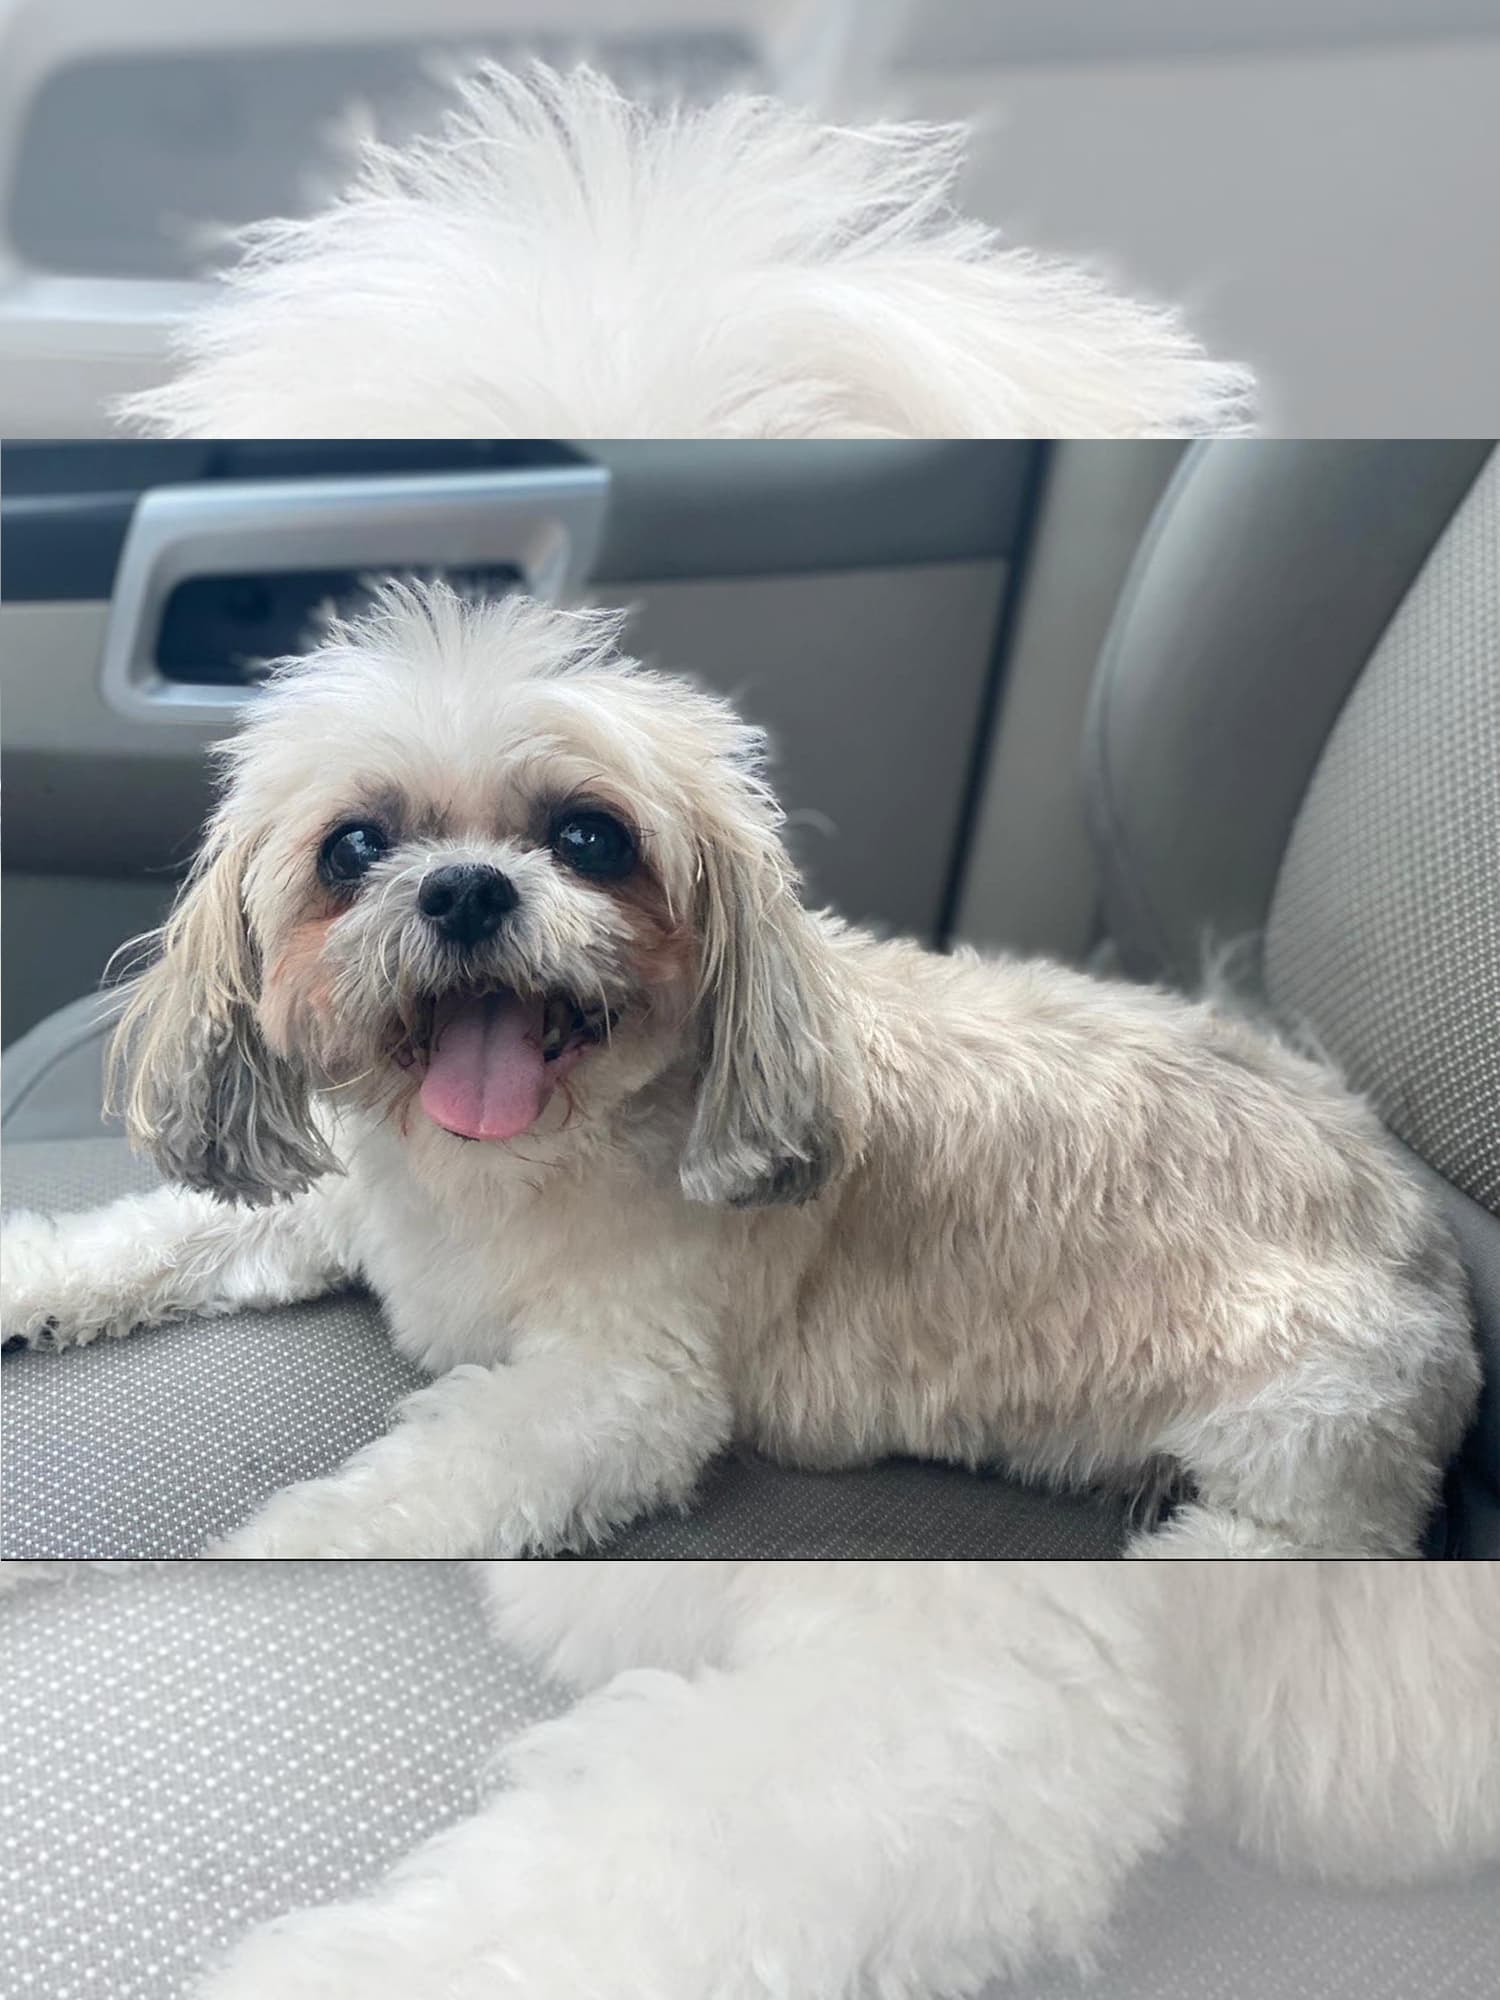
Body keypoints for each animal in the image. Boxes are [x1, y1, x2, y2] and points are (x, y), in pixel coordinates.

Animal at [0, 580, 1480, 1560]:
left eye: (591, 838)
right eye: (354, 847)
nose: (468, 887)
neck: (507, 1170)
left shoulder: (615, 1388)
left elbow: (410, 1495)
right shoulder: (340, 1207)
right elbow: (163, 1233)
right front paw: (31, 1279)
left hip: (1301, 1436)